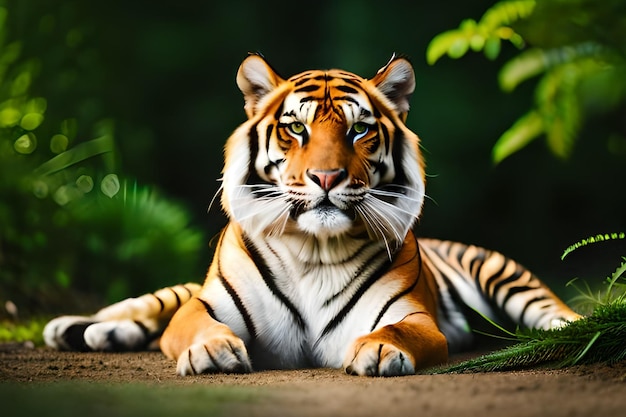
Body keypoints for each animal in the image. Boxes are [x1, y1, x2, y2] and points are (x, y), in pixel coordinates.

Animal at [44, 53, 580, 376]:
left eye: (360, 129)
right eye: (296, 128)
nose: (325, 177)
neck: (314, 251)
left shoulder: (413, 315)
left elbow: (396, 329)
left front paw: (379, 350)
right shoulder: (204, 305)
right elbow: (192, 323)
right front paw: (212, 351)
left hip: (498, 269)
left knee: (551, 306)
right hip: (179, 292)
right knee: (149, 306)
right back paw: (77, 327)